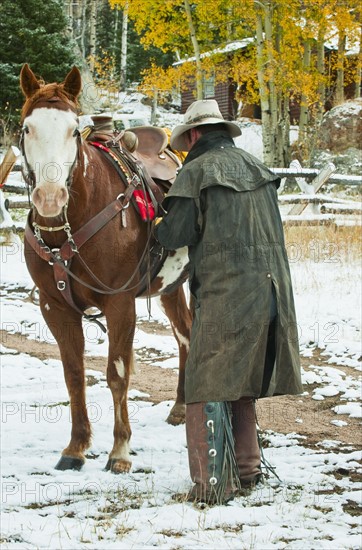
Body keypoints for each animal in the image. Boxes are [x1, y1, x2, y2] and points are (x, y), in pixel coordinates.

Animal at [19, 62, 192, 472]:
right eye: (27, 128)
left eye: (73, 130)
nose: (50, 197)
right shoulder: (54, 307)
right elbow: (74, 374)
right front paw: (76, 447)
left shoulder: (120, 304)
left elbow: (117, 374)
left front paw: (120, 451)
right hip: (171, 287)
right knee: (184, 334)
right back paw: (180, 406)